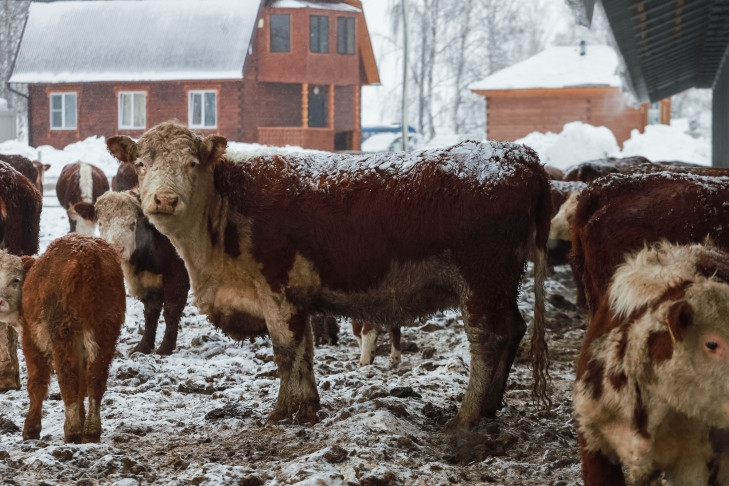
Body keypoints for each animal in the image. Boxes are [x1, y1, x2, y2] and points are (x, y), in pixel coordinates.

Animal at [106, 120, 552, 430]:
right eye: (142, 163)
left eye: (192, 162)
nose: (164, 199)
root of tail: (521, 156)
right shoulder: (296, 298)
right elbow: (304, 351)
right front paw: (306, 408)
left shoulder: (276, 291)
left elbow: (286, 352)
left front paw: (283, 412)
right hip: (501, 285)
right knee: (514, 328)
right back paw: (491, 405)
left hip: (481, 281)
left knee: (486, 341)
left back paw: (468, 415)